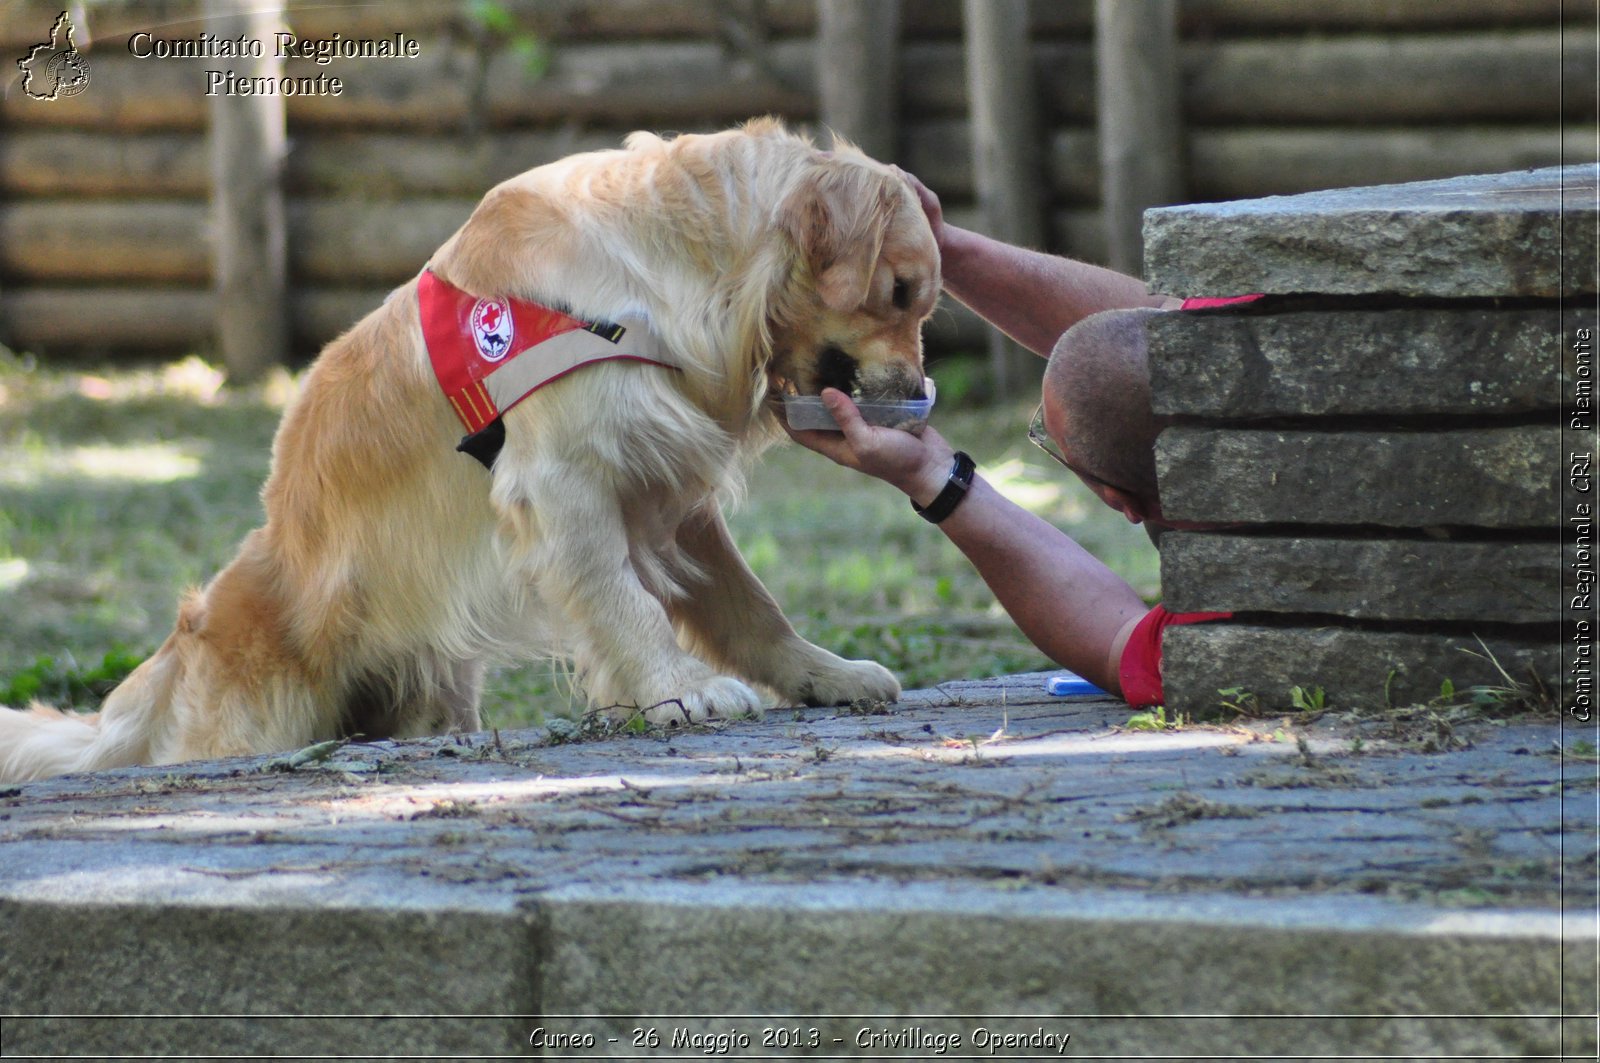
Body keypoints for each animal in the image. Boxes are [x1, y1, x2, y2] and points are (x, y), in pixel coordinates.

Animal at [0, 118, 940, 781]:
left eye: (922, 302)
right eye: (898, 292)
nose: (916, 399)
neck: (670, 279)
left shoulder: (665, 484)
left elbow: (753, 607)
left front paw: (825, 674)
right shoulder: (564, 479)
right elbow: (625, 597)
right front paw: (681, 686)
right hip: (262, 713)